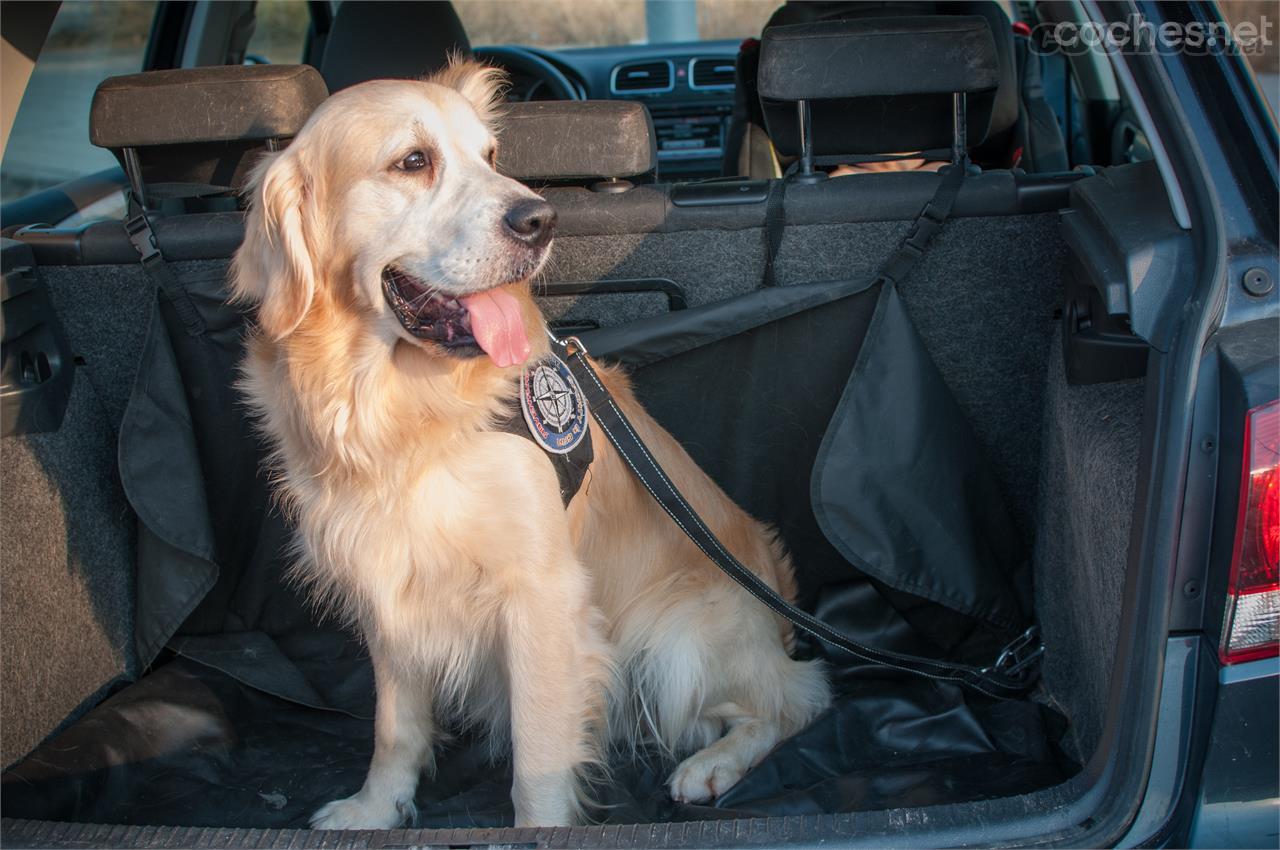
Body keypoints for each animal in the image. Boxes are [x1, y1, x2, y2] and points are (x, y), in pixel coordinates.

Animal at [230, 56, 829, 824]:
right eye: (413, 161)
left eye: (490, 157)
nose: (541, 219)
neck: (396, 408)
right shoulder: (388, 584)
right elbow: (396, 727)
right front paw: (374, 809)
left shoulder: (540, 592)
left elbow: (539, 757)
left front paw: (537, 826)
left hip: (676, 640)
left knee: (797, 699)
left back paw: (711, 766)